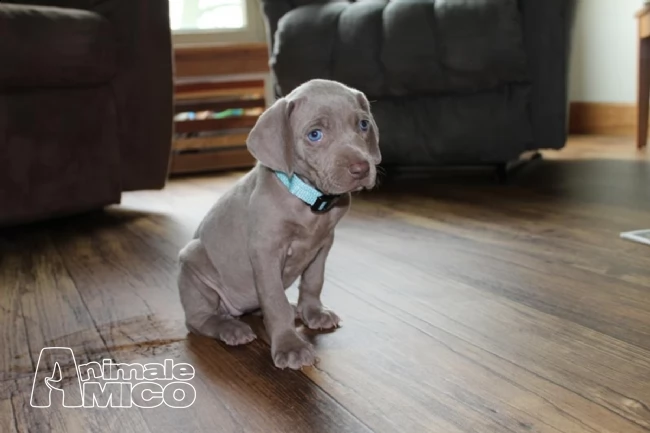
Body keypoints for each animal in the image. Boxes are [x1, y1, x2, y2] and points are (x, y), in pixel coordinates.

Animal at [177, 77, 380, 368]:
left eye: (363, 125)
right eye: (315, 134)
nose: (362, 169)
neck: (307, 197)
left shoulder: (324, 244)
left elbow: (313, 281)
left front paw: (312, 312)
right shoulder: (266, 252)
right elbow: (274, 301)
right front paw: (289, 345)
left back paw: (292, 310)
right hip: (193, 265)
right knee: (198, 320)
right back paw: (230, 327)